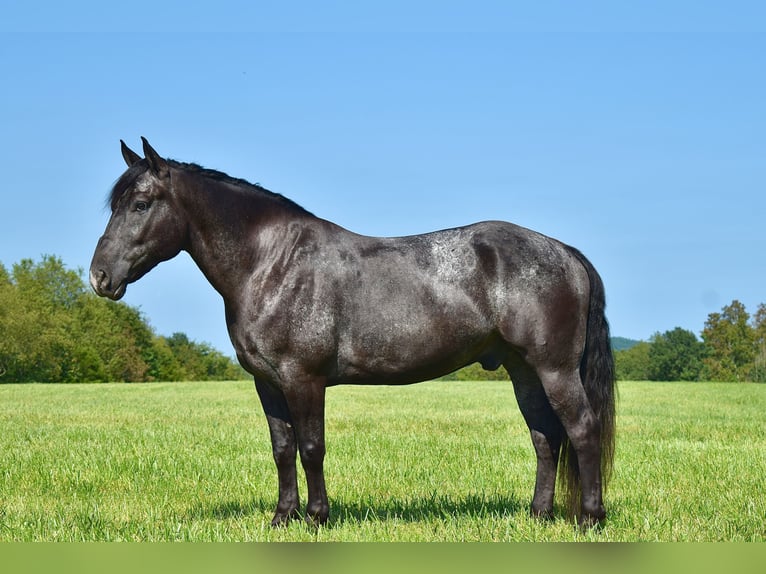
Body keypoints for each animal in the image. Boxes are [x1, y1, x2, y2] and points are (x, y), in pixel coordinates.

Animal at [90, 137, 616, 528]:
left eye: (140, 204)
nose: (99, 277)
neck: (271, 264)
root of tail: (564, 252)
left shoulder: (303, 379)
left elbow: (311, 448)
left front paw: (317, 518)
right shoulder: (267, 382)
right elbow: (282, 449)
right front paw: (282, 517)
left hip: (554, 369)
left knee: (582, 430)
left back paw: (589, 519)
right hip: (522, 369)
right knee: (545, 437)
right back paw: (538, 515)